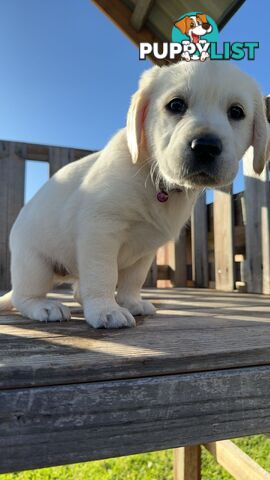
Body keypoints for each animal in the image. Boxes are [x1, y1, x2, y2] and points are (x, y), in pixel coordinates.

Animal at [0, 62, 268, 328]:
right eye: (176, 105)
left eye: (236, 112)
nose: (205, 147)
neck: (155, 178)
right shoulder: (100, 230)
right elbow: (104, 275)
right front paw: (106, 309)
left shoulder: (146, 249)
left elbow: (133, 280)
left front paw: (130, 303)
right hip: (34, 264)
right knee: (23, 296)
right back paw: (44, 306)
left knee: (77, 290)